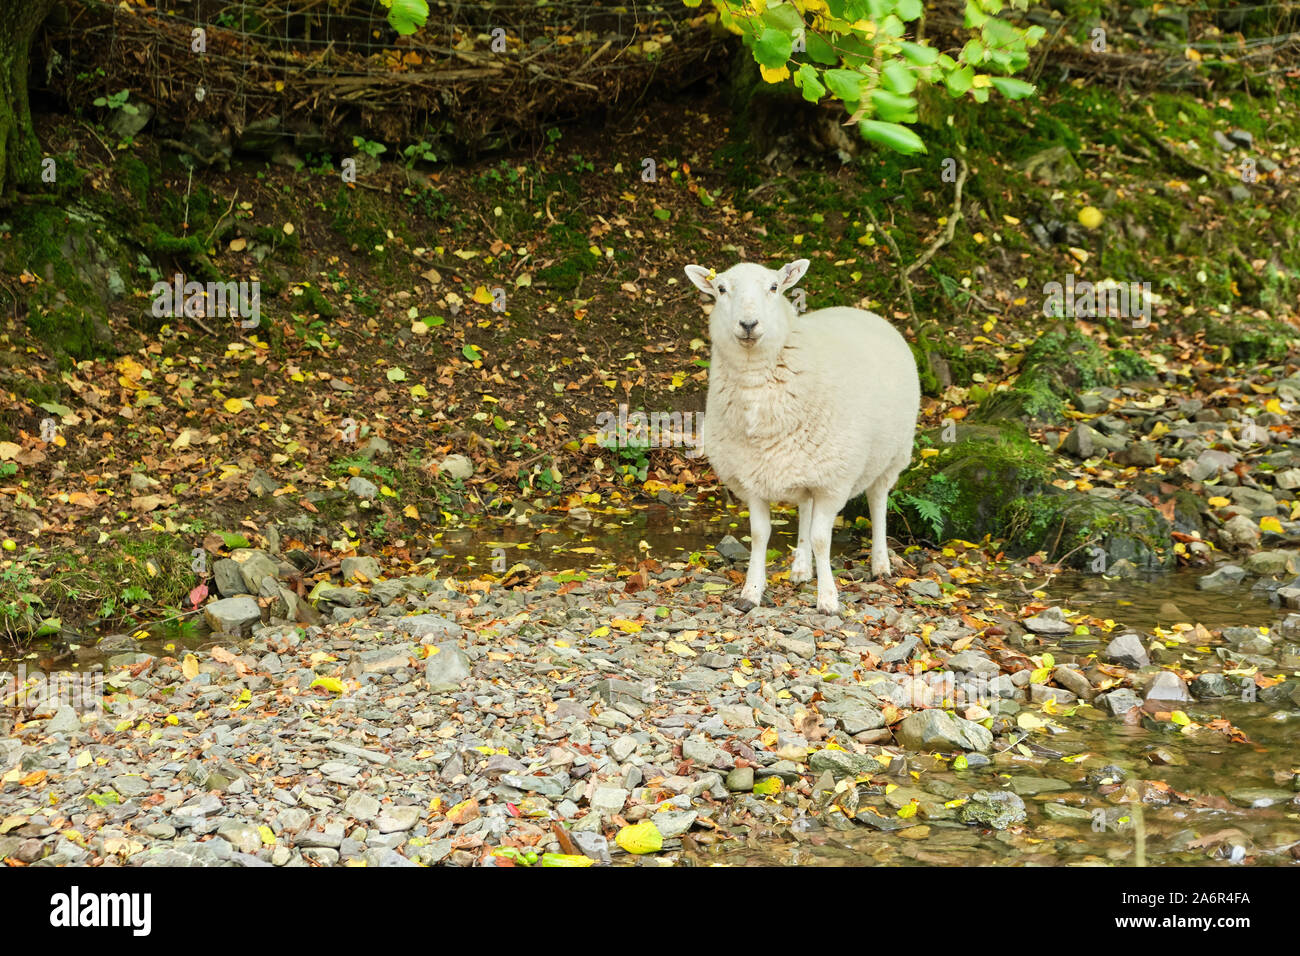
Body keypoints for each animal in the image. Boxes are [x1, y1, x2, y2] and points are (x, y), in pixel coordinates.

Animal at [686, 256, 920, 613]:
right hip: (806, 461)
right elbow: (760, 535)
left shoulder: (834, 481)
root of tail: (861, 311)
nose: (748, 324)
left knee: (878, 500)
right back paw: (800, 568)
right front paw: (751, 592)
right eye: (721, 289)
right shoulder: (753, 476)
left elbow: (823, 539)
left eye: (774, 287)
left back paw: (880, 563)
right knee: (806, 510)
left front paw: (828, 599)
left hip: (892, 454)